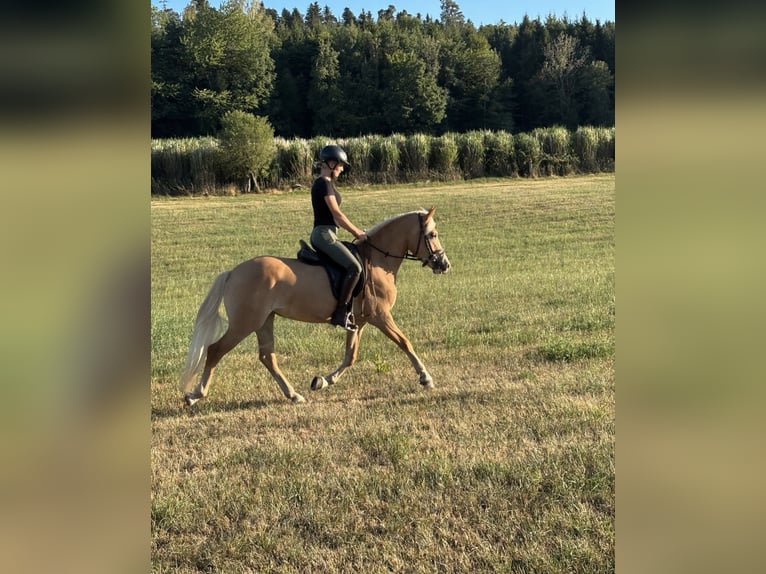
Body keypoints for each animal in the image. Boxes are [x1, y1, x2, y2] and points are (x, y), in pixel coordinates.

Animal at [179, 207, 451, 406]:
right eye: (432, 234)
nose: (444, 264)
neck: (377, 261)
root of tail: (233, 272)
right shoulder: (380, 316)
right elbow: (405, 342)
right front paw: (425, 378)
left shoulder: (359, 321)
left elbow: (350, 356)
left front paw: (322, 381)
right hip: (245, 323)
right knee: (215, 350)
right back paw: (195, 395)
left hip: (265, 321)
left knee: (267, 357)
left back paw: (293, 395)